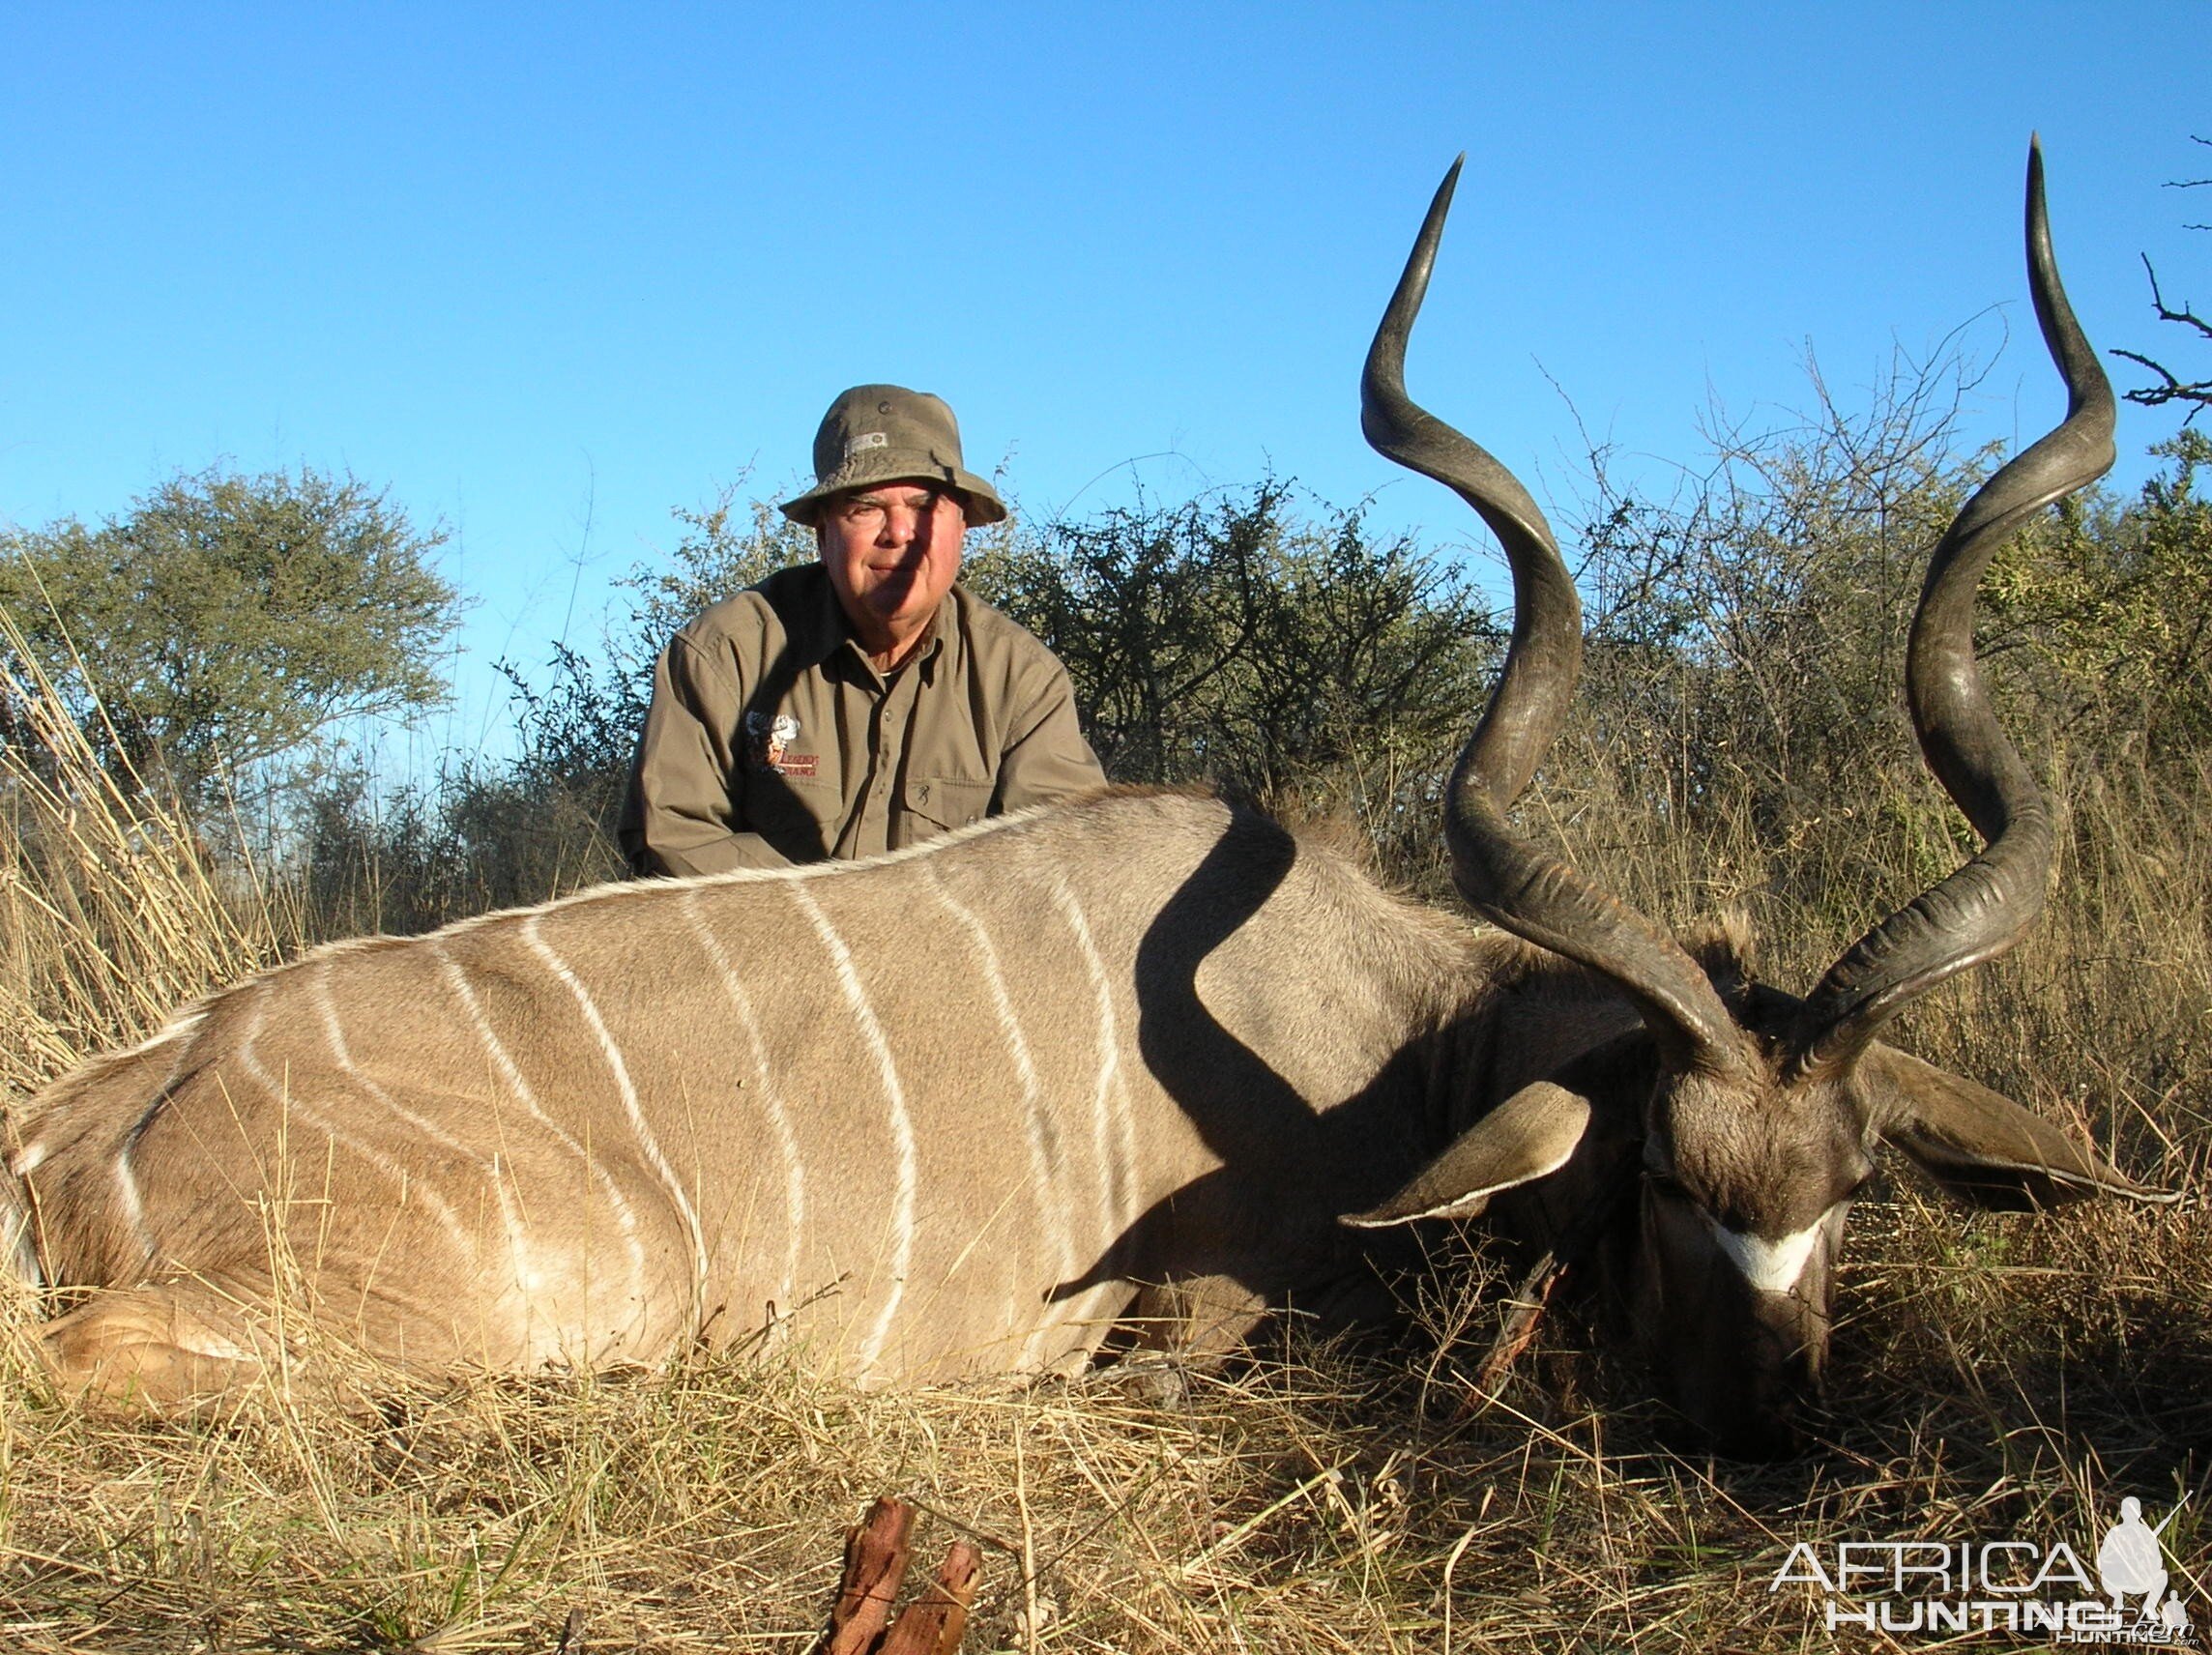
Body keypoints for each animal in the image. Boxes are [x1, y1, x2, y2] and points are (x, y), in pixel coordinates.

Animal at [0, 148, 2168, 1451]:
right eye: (1654, 1174)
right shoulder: (1194, 1322)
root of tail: (93, 1118)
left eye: (1850, 1187)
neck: (1391, 1034)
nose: (1761, 1424)